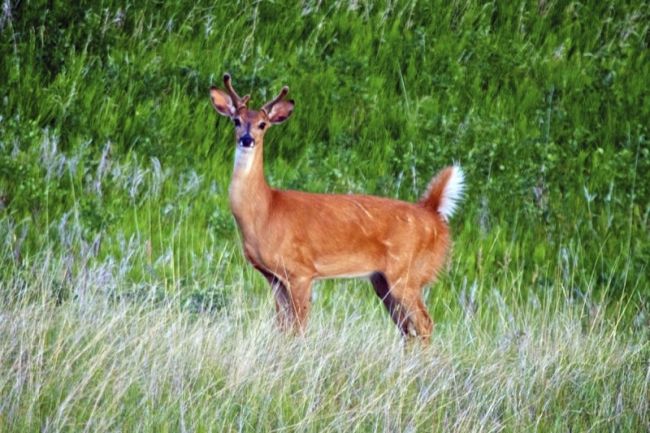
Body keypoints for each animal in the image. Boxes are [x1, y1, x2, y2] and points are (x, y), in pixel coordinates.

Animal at [210, 75, 464, 344]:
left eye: (262, 124)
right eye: (236, 120)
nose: (247, 139)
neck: (265, 210)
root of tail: (433, 213)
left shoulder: (301, 270)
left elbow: (299, 327)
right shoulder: (274, 277)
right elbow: (282, 327)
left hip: (407, 271)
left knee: (425, 324)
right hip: (383, 280)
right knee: (408, 328)